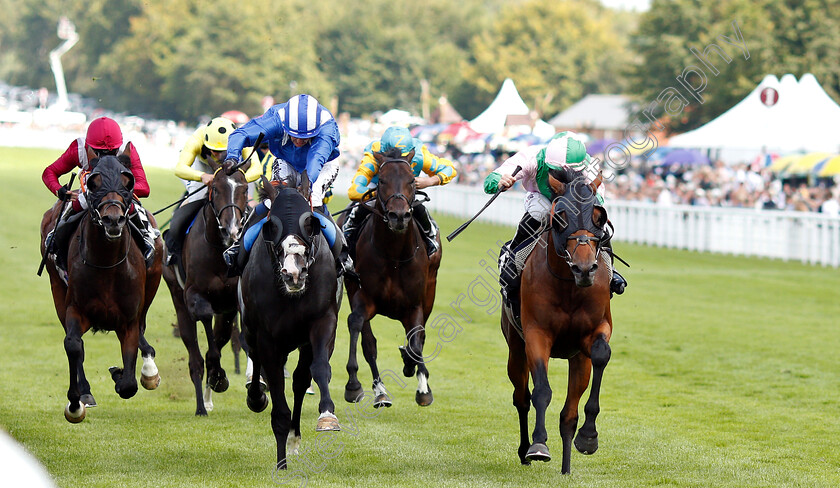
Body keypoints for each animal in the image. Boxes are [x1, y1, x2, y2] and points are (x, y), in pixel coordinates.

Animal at [39, 156, 164, 424]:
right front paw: (76, 402)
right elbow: (73, 345)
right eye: (94, 183)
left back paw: (148, 369)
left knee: (142, 328)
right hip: (57, 288)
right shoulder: (76, 309)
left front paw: (121, 373)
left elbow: (128, 384)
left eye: (127, 181)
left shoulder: (128, 318)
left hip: (153, 282)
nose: (113, 220)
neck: (107, 264)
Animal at [160, 162, 246, 414]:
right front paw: (218, 376)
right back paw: (201, 405)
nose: (231, 230)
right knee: (194, 357)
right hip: (178, 297)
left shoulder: (231, 304)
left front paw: (218, 377)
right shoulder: (194, 295)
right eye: (215, 189)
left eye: (244, 189)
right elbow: (206, 328)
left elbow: (220, 342)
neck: (219, 252)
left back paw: (207, 398)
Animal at [236, 174, 342, 468]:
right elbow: (275, 387)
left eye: (311, 223)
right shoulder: (267, 337)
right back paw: (256, 397)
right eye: (271, 224)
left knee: (300, 379)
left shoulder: (323, 322)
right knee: (256, 360)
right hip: (252, 330)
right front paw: (281, 463)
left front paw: (327, 416)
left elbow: (319, 369)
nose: (294, 273)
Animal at [344, 148, 442, 408]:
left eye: (411, 180)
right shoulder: (364, 297)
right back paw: (380, 392)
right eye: (382, 181)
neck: (394, 256)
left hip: (430, 291)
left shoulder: (415, 303)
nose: (399, 216)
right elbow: (359, 328)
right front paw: (354, 385)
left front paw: (420, 385)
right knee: (369, 342)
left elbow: (416, 341)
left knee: (420, 336)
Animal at [502, 168, 612, 472]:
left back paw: (566, 467)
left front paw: (589, 436)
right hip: (515, 347)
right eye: (561, 217)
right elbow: (541, 391)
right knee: (521, 398)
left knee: (568, 414)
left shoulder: (596, 331)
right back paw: (524, 450)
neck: (569, 286)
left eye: (599, 216)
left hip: (578, 359)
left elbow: (601, 354)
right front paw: (538, 445)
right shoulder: (537, 334)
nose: (584, 268)